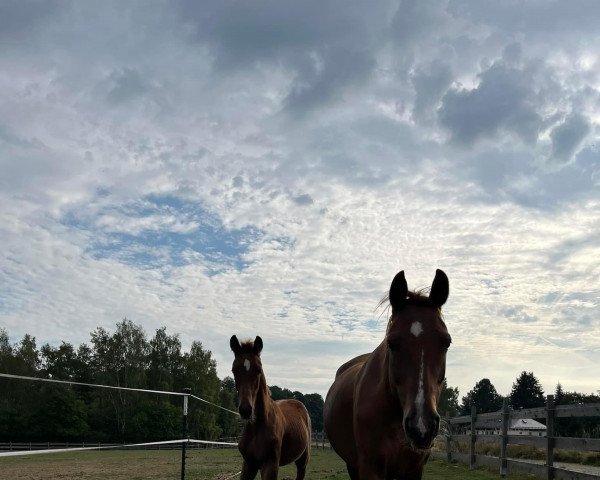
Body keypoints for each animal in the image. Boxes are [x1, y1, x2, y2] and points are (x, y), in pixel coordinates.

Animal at [230, 334, 312, 480]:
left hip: (303, 461)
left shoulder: (270, 465)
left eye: (258, 370)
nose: (246, 410)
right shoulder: (248, 464)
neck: (257, 427)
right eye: (234, 370)